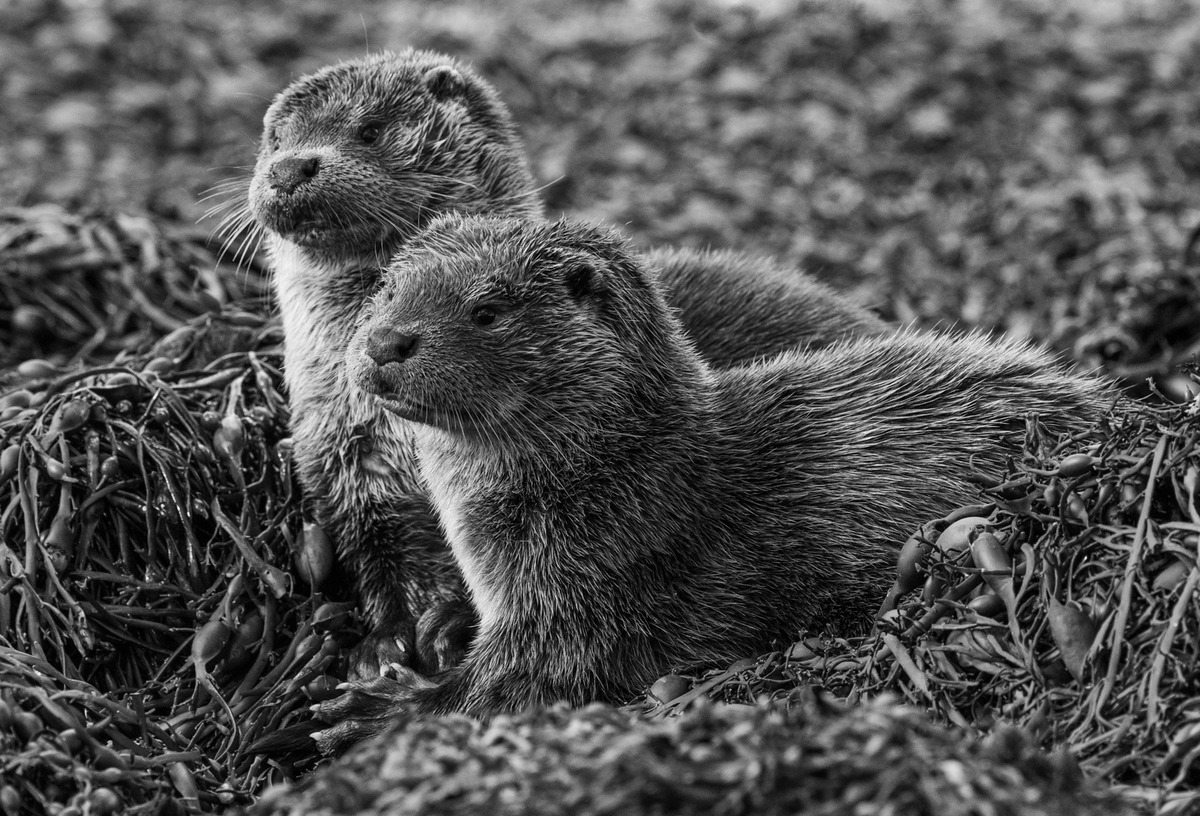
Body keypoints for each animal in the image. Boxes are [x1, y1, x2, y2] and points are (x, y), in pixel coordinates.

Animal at [238, 49, 888, 676]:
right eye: (274, 138)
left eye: (369, 130)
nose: (288, 168)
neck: (396, 442)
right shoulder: (345, 467)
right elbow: (379, 560)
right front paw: (384, 644)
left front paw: (446, 627)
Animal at [304, 214, 1108, 753]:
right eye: (387, 288)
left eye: (487, 310)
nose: (386, 341)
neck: (610, 474)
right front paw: (436, 628)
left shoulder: (604, 575)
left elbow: (529, 678)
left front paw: (380, 710)